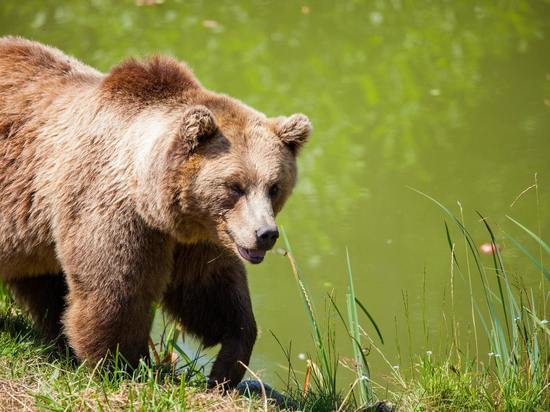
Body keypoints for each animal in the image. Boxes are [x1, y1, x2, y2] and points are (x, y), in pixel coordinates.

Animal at [0, 37, 310, 388]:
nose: (265, 234)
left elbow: (210, 291)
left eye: (274, 186)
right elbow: (117, 291)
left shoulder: (197, 237)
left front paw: (227, 366)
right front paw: (122, 366)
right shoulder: (113, 210)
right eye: (235, 186)